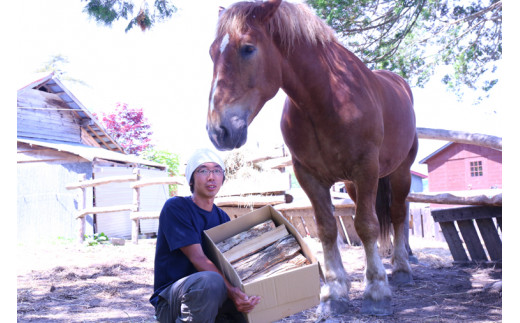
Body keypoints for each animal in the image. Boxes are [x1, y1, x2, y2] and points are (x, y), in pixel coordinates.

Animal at [206, 0, 418, 316]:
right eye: (211, 53)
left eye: (247, 48)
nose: (218, 131)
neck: (326, 100)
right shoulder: (309, 175)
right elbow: (327, 229)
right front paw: (334, 292)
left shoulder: (366, 169)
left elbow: (366, 226)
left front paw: (376, 290)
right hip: (354, 186)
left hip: (399, 172)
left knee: (398, 213)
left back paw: (402, 268)